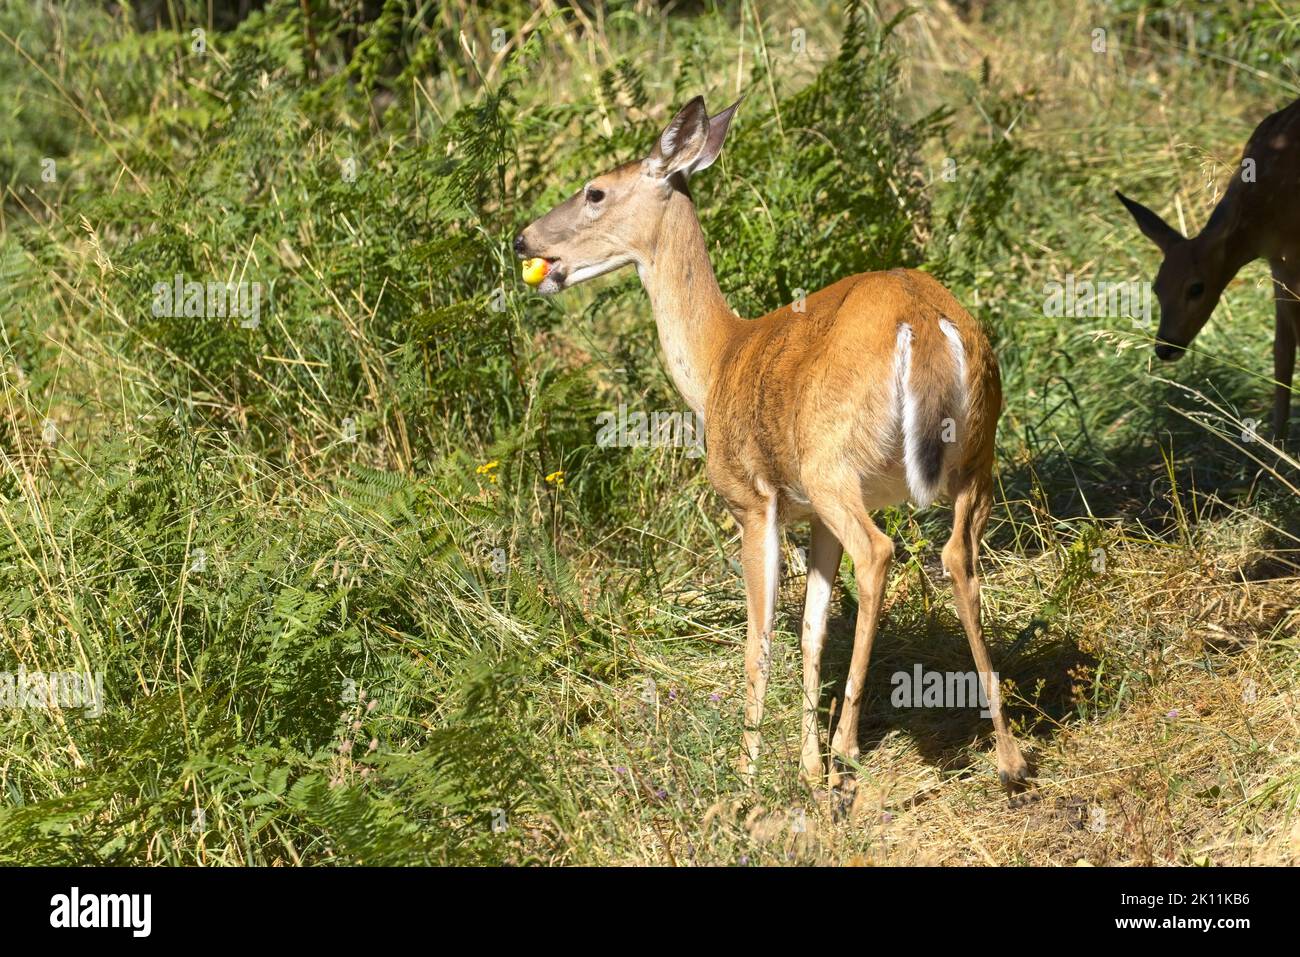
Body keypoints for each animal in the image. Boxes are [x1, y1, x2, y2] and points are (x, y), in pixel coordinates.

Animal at [514, 96, 1029, 794]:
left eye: (595, 191)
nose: (524, 240)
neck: (717, 362)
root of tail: (923, 324)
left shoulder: (752, 499)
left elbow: (759, 639)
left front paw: (748, 773)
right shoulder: (811, 515)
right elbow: (811, 631)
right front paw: (805, 768)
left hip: (833, 460)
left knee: (880, 552)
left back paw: (849, 749)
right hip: (977, 456)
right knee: (957, 556)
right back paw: (1009, 759)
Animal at [1117, 96, 1300, 443]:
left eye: (1196, 288)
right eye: (1156, 287)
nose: (1165, 348)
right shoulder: (1278, 262)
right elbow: (1282, 348)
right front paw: (1275, 443)